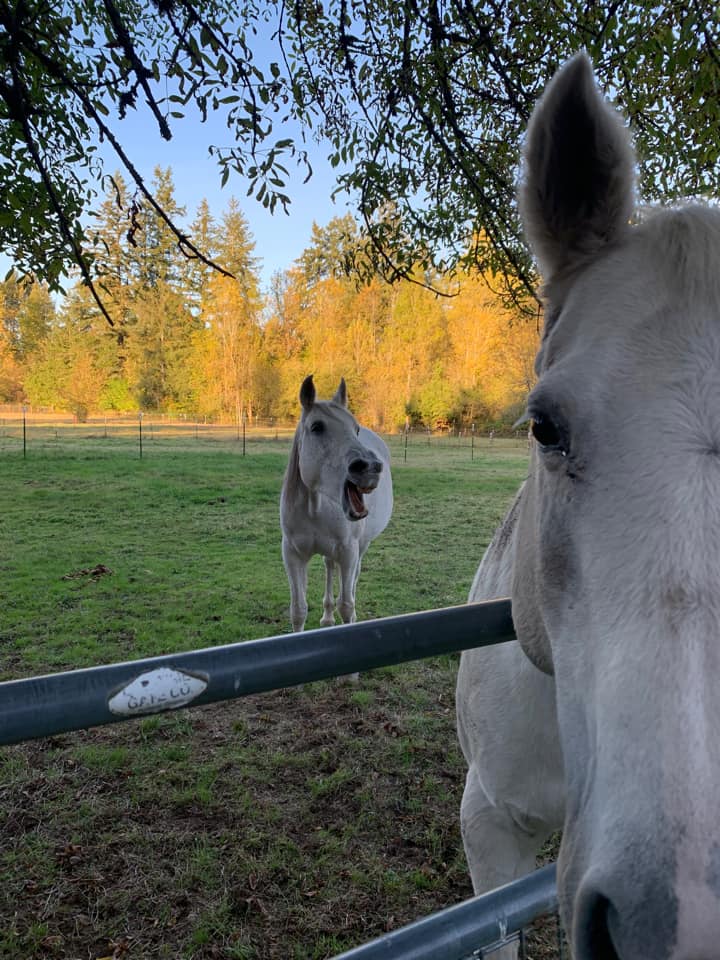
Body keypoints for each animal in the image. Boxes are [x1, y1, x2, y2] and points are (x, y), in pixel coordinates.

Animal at [282, 376, 394, 636]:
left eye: (355, 429)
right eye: (317, 427)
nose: (370, 467)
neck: (314, 508)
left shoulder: (348, 551)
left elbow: (346, 605)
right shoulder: (292, 554)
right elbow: (298, 609)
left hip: (360, 546)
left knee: (353, 578)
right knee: (329, 566)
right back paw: (326, 617)